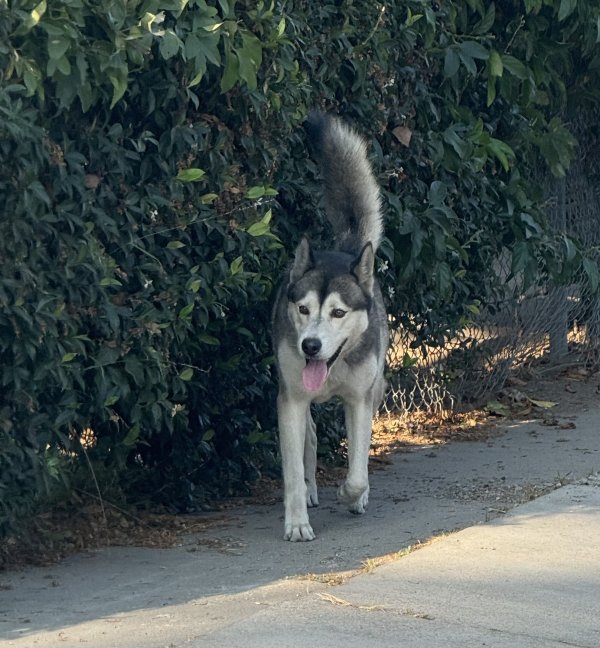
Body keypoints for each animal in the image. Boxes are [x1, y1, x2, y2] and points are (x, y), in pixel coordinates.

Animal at [272, 111, 390, 540]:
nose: (309, 346)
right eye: (304, 309)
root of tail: (345, 251)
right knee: (309, 436)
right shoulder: (290, 400)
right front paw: (296, 523)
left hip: (376, 387)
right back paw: (309, 491)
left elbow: (357, 468)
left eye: (339, 313)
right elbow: (291, 470)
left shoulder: (359, 400)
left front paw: (352, 493)